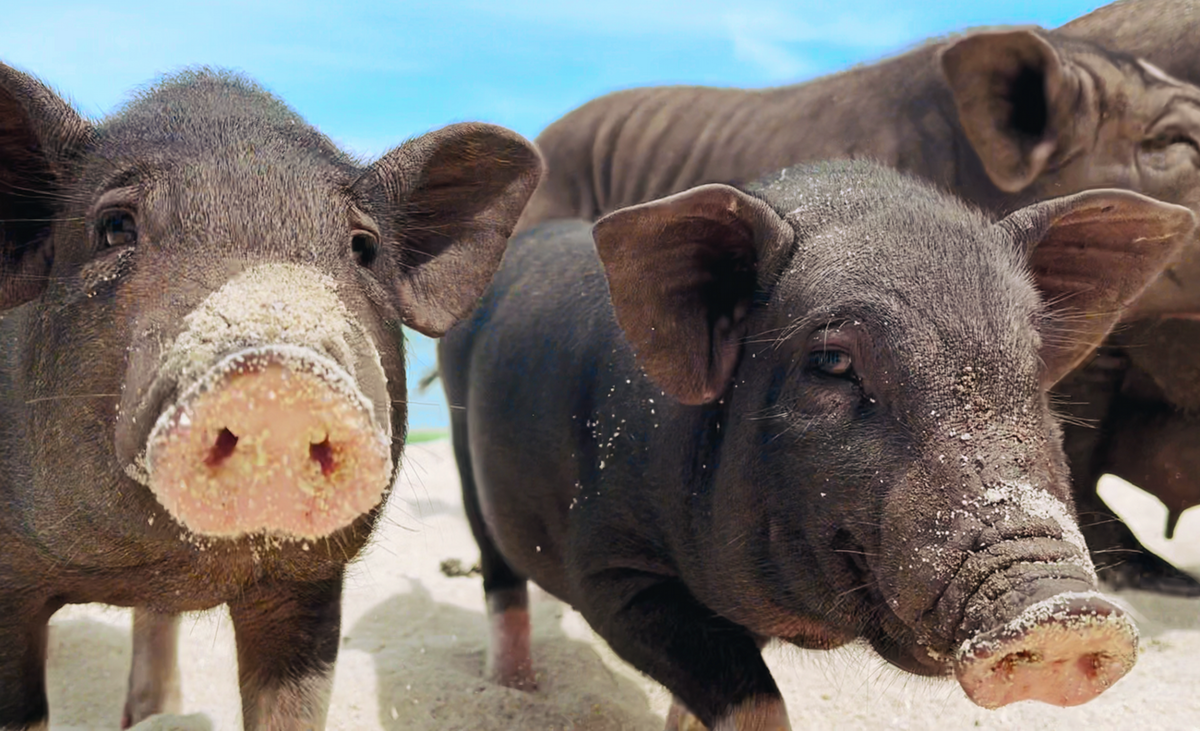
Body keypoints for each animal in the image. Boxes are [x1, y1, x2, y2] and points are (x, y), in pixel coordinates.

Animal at [441, 160, 1200, 729]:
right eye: (831, 362)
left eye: (1033, 362)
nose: (1066, 614)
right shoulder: (610, 566)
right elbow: (752, 700)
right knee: (498, 575)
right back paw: (516, 687)